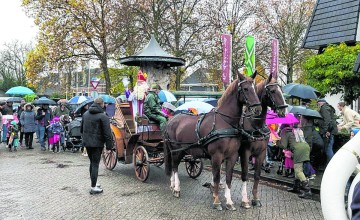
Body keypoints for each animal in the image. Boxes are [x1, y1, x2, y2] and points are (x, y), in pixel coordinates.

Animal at [163, 72, 262, 210]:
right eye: (246, 89)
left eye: (255, 88)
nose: (258, 109)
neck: (225, 122)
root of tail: (171, 120)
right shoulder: (216, 155)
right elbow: (216, 178)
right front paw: (216, 201)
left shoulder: (232, 156)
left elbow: (228, 178)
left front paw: (229, 202)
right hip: (177, 150)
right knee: (175, 166)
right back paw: (177, 189)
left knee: (173, 166)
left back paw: (172, 185)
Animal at [239, 73, 286, 208]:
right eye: (273, 91)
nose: (284, 110)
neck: (255, 125)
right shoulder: (245, 153)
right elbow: (245, 175)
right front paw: (245, 200)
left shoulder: (261, 153)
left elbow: (257, 175)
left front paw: (255, 198)